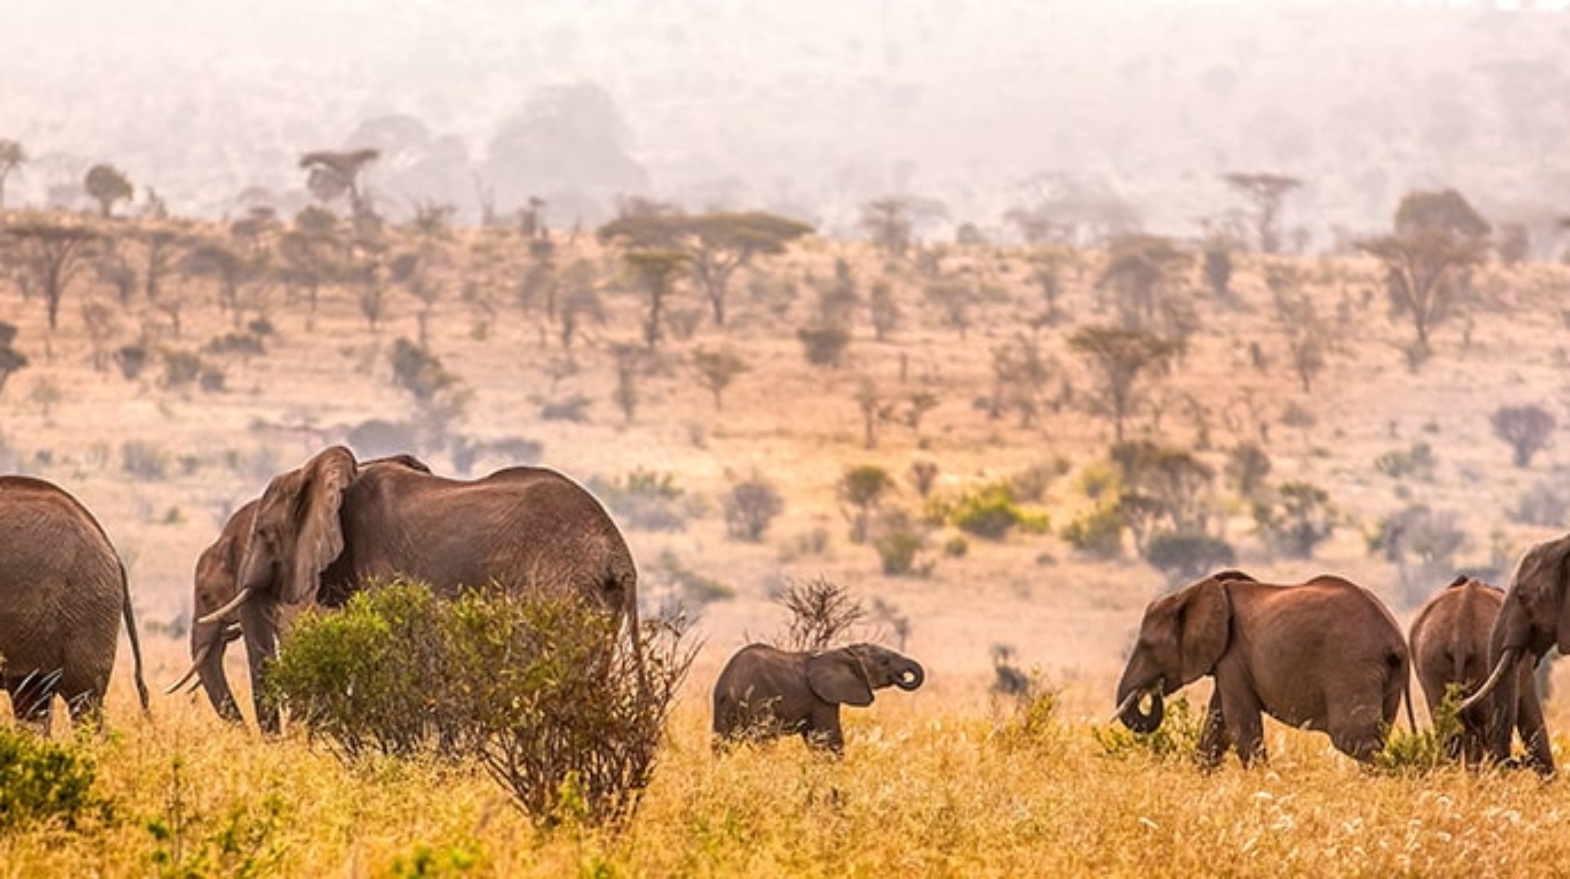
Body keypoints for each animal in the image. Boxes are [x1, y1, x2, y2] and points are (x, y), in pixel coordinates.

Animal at [711, 642, 925, 754]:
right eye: (884, 661)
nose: (903, 676)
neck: (846, 649)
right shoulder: (822, 698)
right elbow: (828, 737)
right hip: (759, 701)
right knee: (764, 739)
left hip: (722, 706)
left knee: (721, 743)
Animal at [1115, 570, 1412, 768]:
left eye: (1147, 645)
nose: (1152, 689)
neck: (1190, 592)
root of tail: (1395, 638)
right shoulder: (1229, 662)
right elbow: (1217, 726)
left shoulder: (1233, 655)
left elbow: (1240, 726)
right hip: (1385, 679)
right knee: (1377, 736)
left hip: (1352, 667)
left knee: (1354, 740)